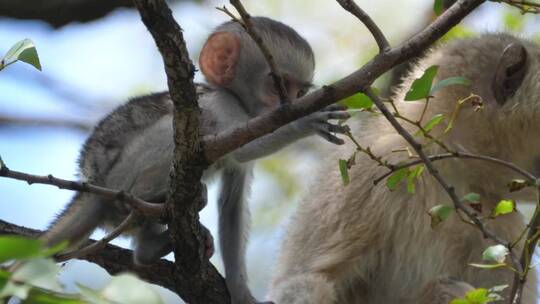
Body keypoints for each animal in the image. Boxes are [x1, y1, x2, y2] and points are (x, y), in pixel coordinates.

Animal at [39, 17, 350, 304]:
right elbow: (243, 149)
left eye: (300, 92)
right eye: (278, 85)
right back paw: (151, 200)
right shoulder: (222, 104)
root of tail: (93, 182)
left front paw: (241, 291)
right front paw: (305, 121)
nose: (292, 104)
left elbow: (232, 205)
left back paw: (148, 248)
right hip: (123, 173)